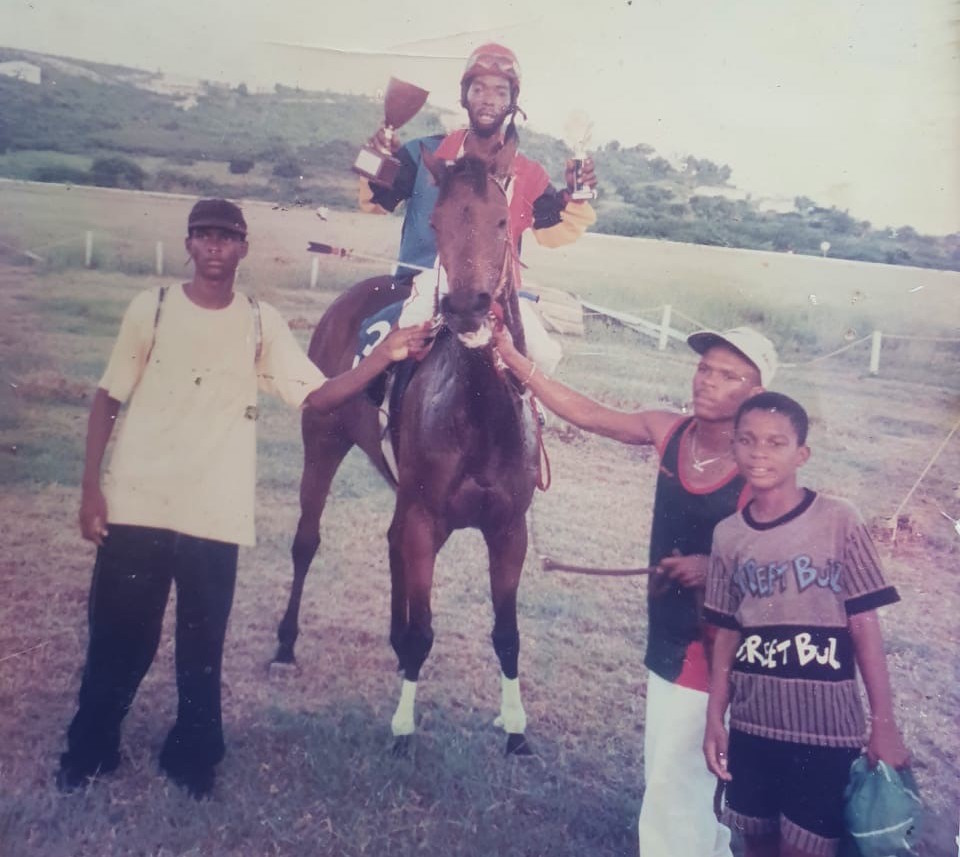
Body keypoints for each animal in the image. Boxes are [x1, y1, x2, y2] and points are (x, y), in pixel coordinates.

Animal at [276, 135, 540, 756]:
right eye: (439, 222)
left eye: (501, 221)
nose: (466, 307)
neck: (480, 413)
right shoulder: (426, 517)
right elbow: (424, 630)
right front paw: (402, 726)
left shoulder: (508, 529)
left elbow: (508, 633)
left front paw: (516, 727)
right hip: (322, 444)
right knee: (306, 541)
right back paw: (286, 641)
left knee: (390, 541)